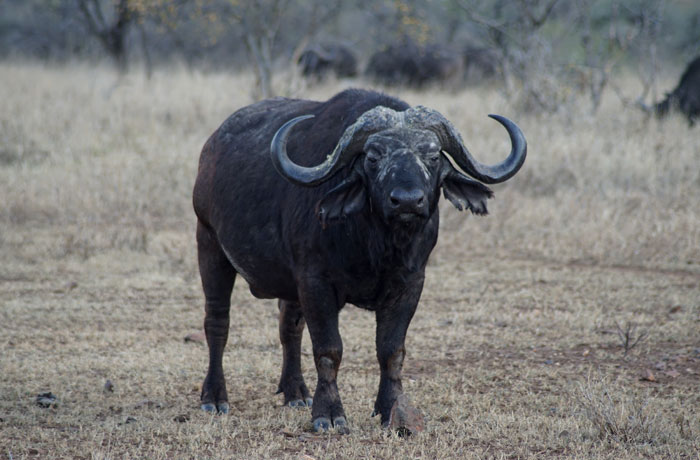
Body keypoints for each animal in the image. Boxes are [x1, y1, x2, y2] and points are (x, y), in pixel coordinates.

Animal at [191, 88, 524, 434]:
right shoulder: (316, 283)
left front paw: (391, 408)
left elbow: (391, 350)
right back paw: (214, 396)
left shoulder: (410, 284)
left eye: (433, 156)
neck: (376, 245)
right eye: (373, 156)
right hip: (209, 245)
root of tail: (212, 147)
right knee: (217, 322)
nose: (407, 201)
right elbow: (329, 350)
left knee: (289, 327)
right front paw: (329, 413)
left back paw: (295, 392)